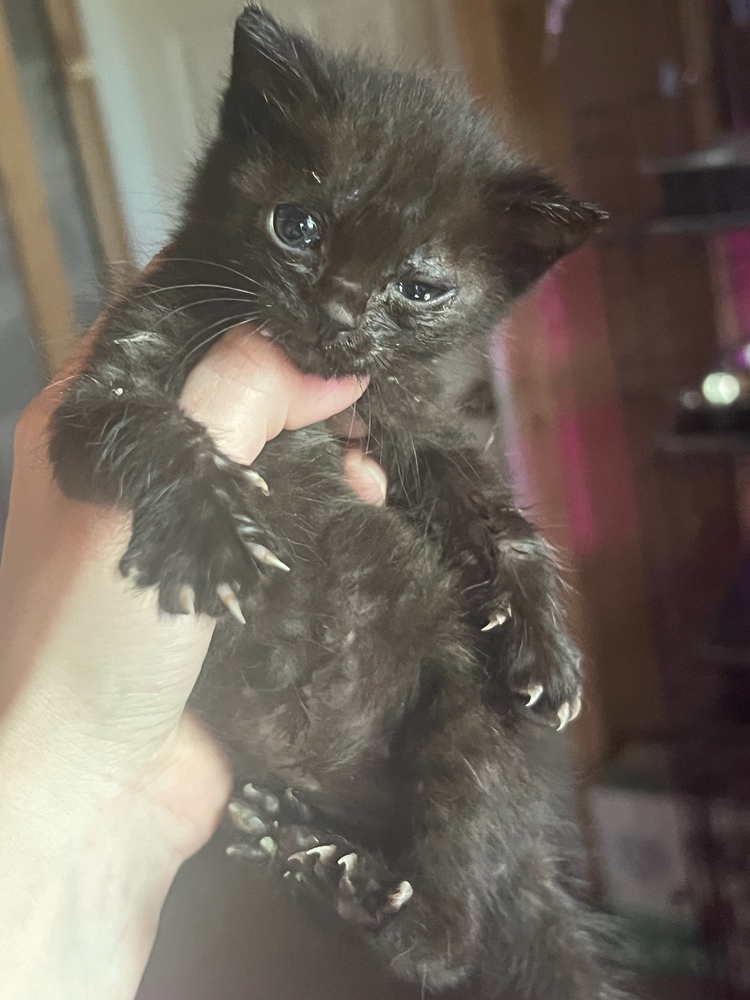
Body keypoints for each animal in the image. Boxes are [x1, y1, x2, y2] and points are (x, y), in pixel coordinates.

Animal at [53, 9, 624, 1000]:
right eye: (299, 225)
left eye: (419, 287)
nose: (341, 313)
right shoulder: (110, 377)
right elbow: (147, 427)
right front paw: (212, 532)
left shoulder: (416, 427)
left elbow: (499, 514)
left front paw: (548, 647)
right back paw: (295, 845)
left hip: (470, 730)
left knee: (446, 935)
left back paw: (337, 876)